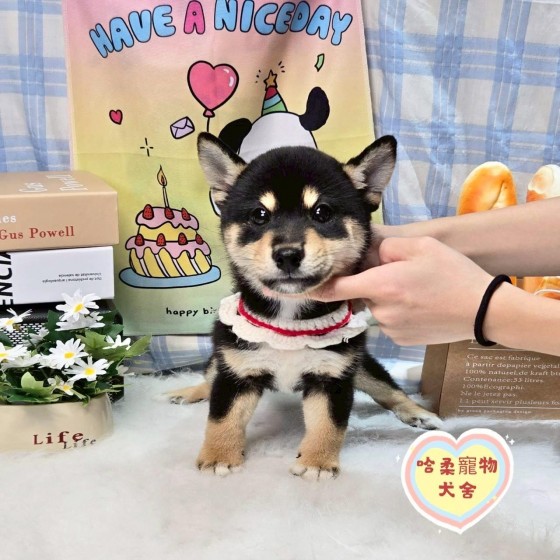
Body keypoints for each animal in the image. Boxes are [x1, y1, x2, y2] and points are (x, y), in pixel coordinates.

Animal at [165, 132, 442, 479]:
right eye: (259, 215)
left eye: (322, 213)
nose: (287, 254)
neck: (289, 317)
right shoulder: (237, 371)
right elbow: (222, 418)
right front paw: (219, 455)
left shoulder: (332, 376)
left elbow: (327, 425)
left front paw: (317, 461)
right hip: (223, 351)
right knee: (210, 376)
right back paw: (188, 392)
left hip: (359, 365)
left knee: (389, 389)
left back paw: (418, 412)